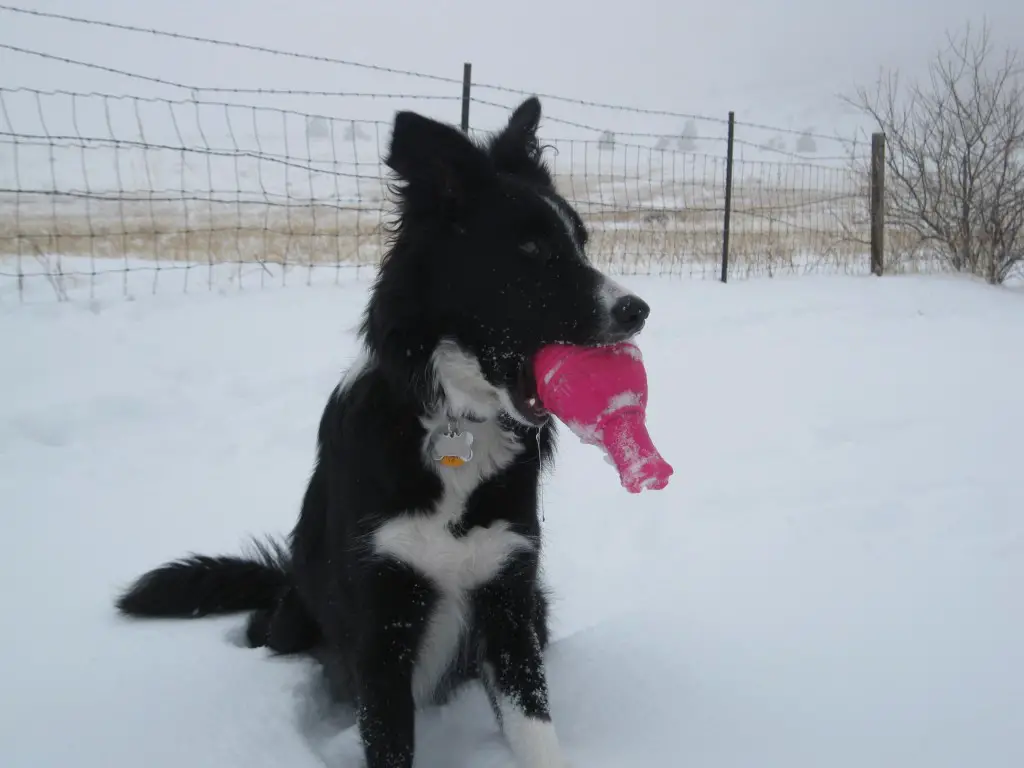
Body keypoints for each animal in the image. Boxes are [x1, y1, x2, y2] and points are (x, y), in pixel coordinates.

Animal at [116, 96, 647, 768]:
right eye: (529, 249)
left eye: (580, 242)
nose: (637, 311)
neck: (456, 426)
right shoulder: (383, 619)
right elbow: (389, 738)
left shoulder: (508, 597)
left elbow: (534, 728)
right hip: (293, 618)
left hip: (539, 607)